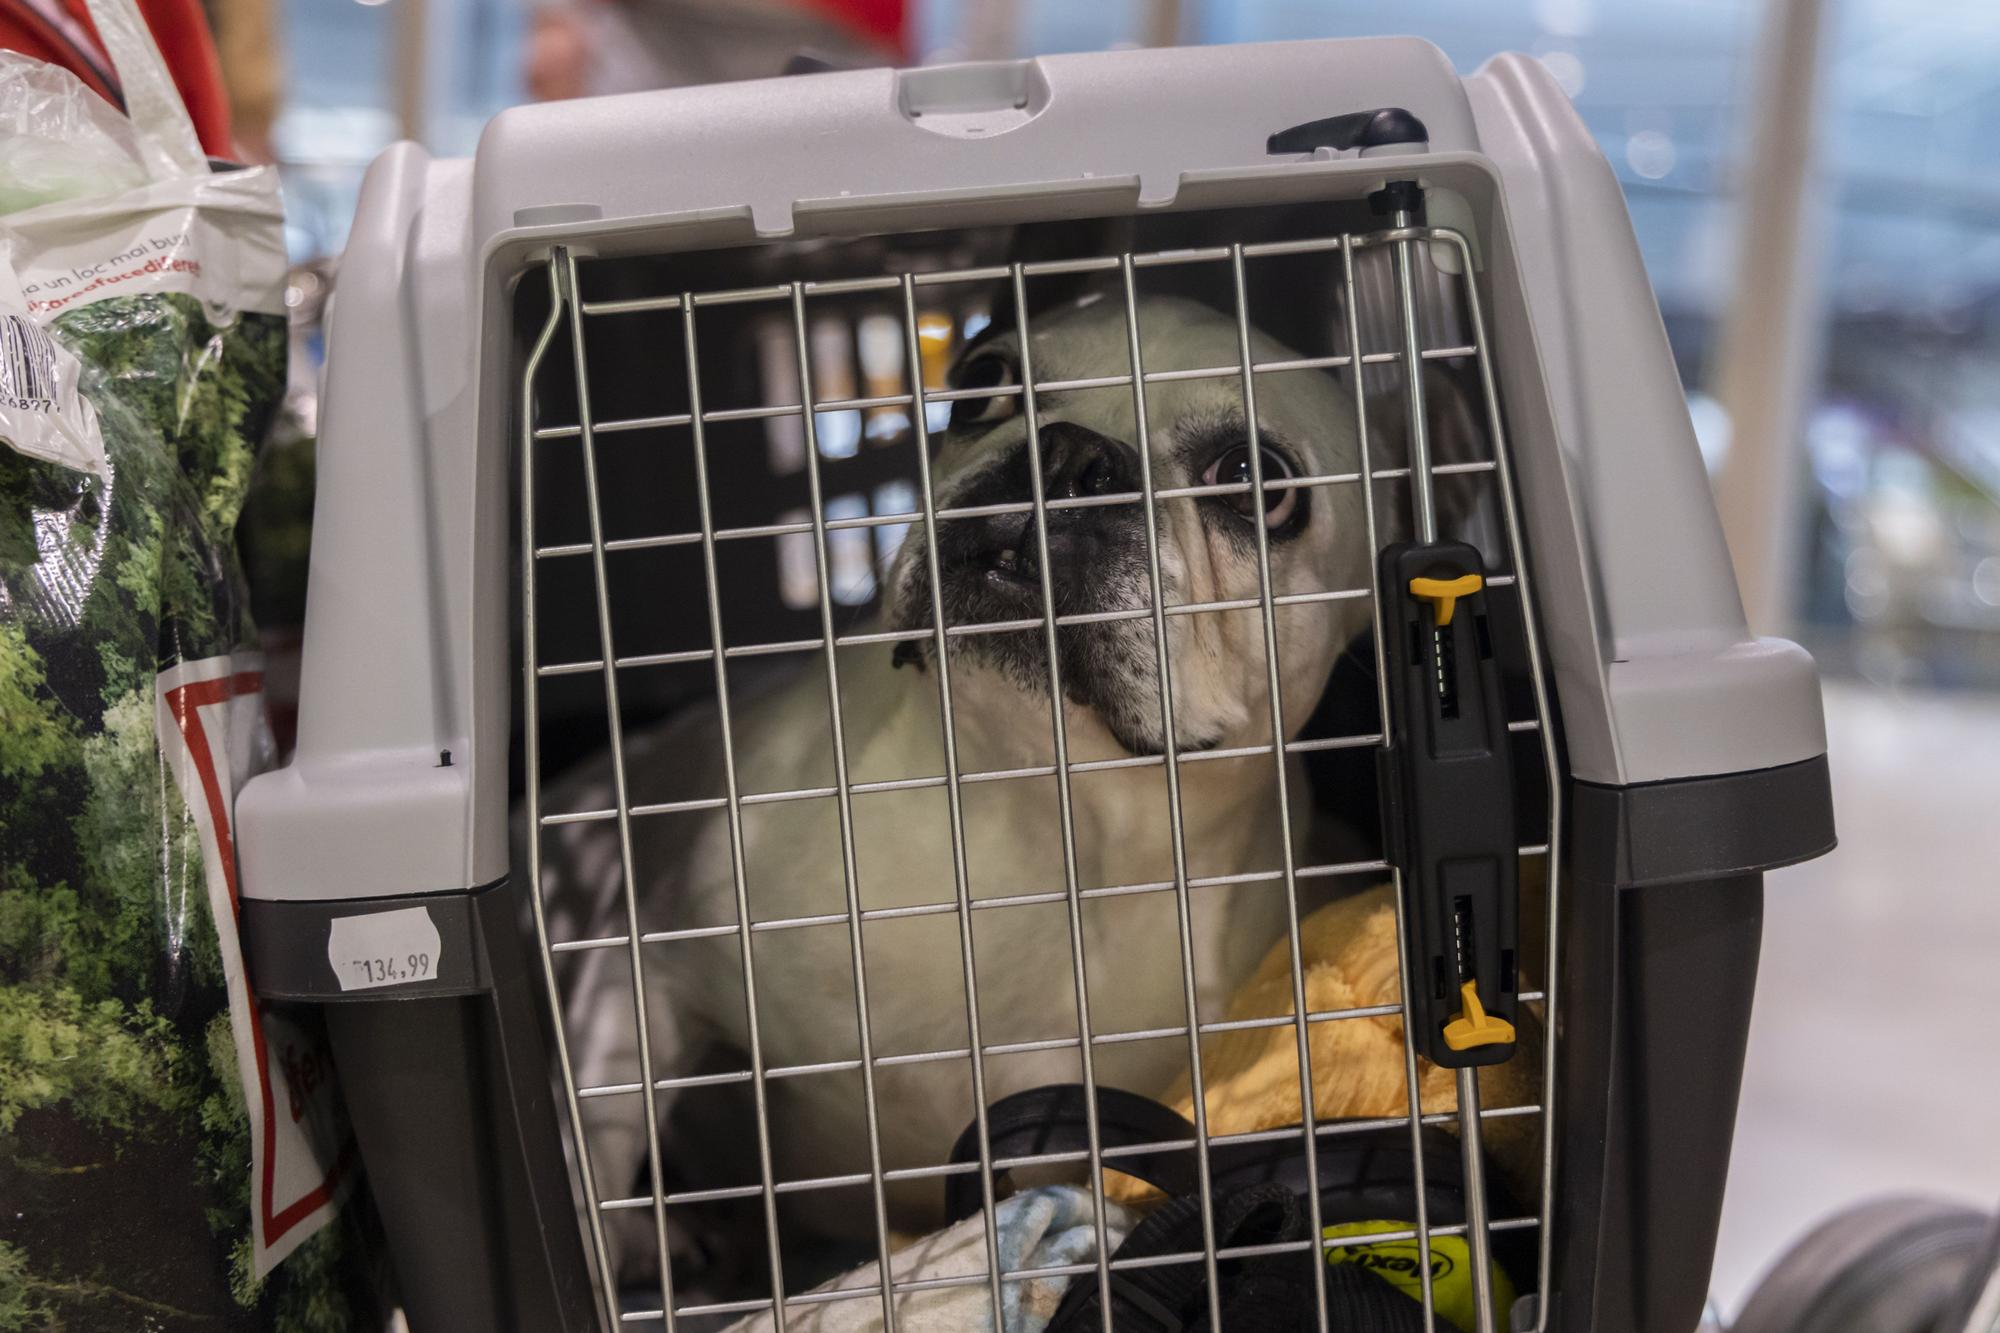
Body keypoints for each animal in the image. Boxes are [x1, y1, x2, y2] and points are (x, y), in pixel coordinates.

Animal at [540, 294, 1464, 1280]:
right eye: (981, 385)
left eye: (1258, 480)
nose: (1065, 453)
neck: (1029, 813)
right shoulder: (648, 964)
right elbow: (593, 1138)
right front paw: (598, 1247)